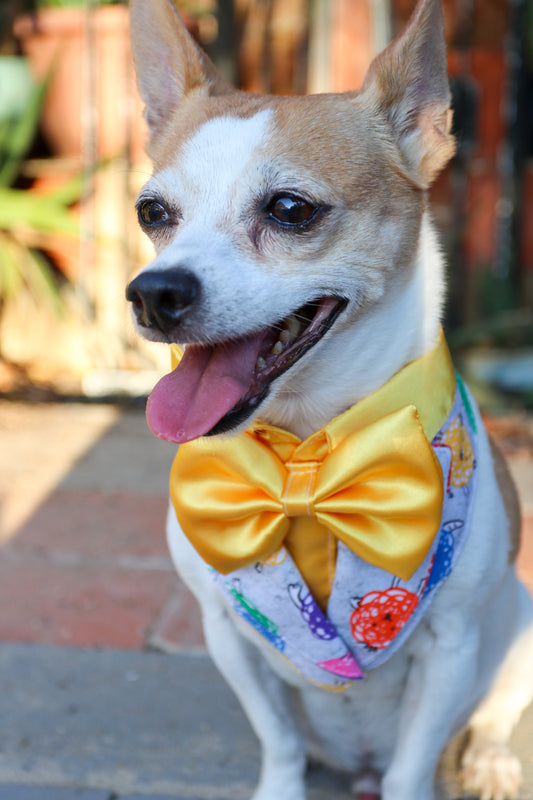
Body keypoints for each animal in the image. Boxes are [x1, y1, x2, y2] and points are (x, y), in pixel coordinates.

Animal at [125, 0, 532, 796]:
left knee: (494, 715)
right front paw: (281, 784)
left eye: (290, 209)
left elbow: (411, 768)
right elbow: (278, 738)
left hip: (520, 631)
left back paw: (493, 761)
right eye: (152, 213)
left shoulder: (452, 648)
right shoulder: (230, 634)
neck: (304, 451)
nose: (153, 291)